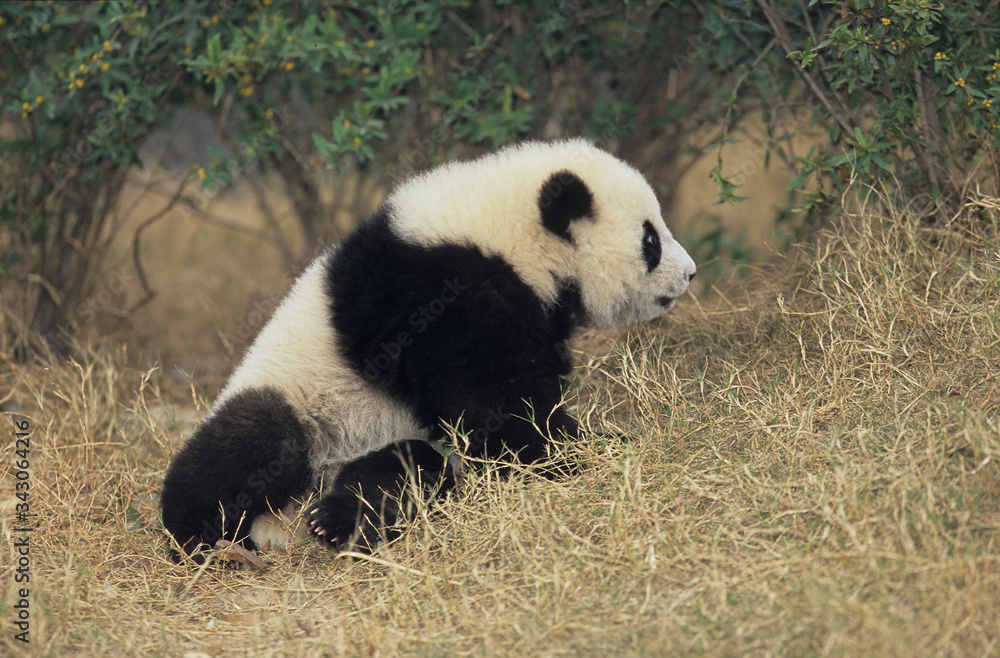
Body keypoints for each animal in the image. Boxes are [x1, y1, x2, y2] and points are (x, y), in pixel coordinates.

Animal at [161, 138, 697, 561]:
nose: (690, 274)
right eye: (651, 239)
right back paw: (205, 540)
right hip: (303, 394)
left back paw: (336, 522)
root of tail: (282, 523)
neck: (509, 235)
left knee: (401, 472)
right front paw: (574, 452)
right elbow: (495, 405)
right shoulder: (442, 293)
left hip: (381, 438)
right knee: (252, 444)